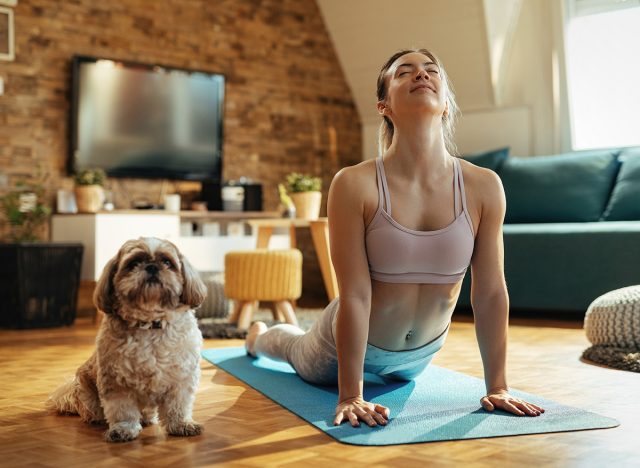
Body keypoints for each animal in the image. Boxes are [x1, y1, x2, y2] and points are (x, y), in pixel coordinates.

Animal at [48, 238, 208, 442]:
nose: (152, 267)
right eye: (134, 263)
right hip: (86, 391)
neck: (150, 323)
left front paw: (181, 424)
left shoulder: (181, 378)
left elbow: (178, 405)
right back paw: (97, 419)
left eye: (167, 262)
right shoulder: (116, 382)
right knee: (93, 410)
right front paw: (123, 429)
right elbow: (122, 410)